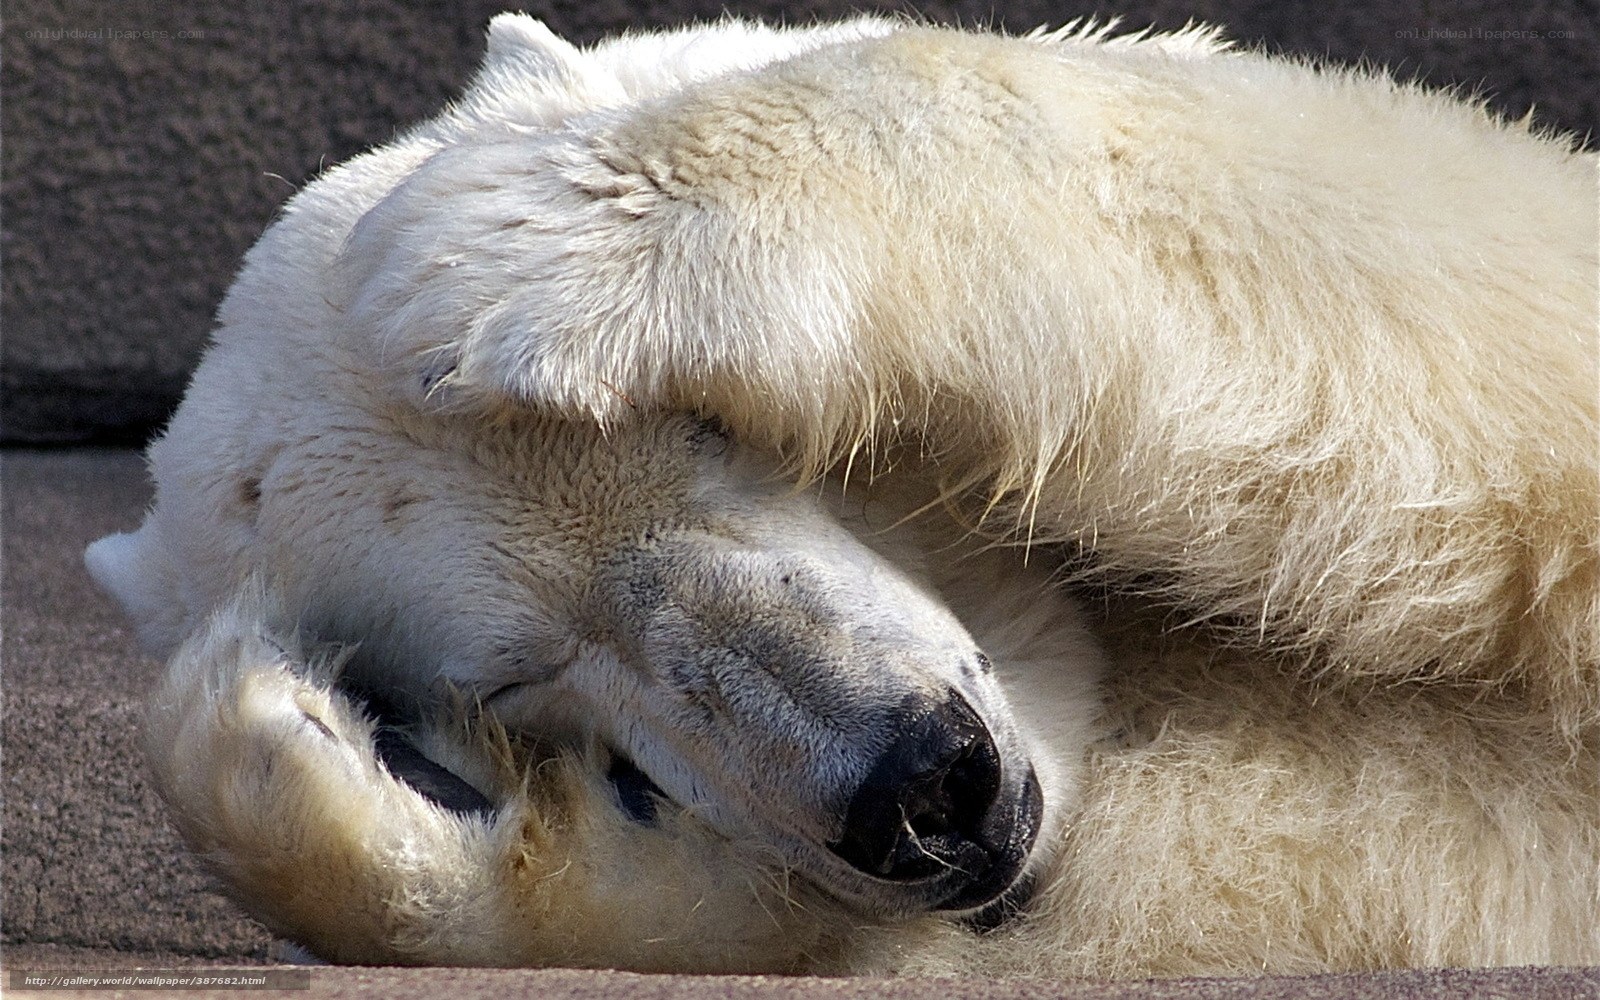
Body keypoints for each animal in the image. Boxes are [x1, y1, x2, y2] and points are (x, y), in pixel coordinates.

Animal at [85, 13, 1598, 978]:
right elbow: (1376, 844)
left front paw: (503, 238)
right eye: (515, 675)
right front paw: (326, 766)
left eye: (709, 426)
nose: (921, 787)